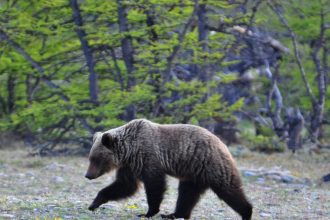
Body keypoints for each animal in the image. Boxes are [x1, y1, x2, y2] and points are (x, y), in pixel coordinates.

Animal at [85, 119, 253, 219]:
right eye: (90, 157)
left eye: (96, 159)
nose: (88, 175)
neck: (130, 150)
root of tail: (222, 143)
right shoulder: (130, 165)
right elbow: (124, 185)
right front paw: (94, 203)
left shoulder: (148, 157)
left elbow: (155, 185)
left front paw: (148, 212)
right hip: (194, 173)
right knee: (187, 194)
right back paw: (173, 214)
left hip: (211, 164)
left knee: (228, 189)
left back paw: (247, 211)